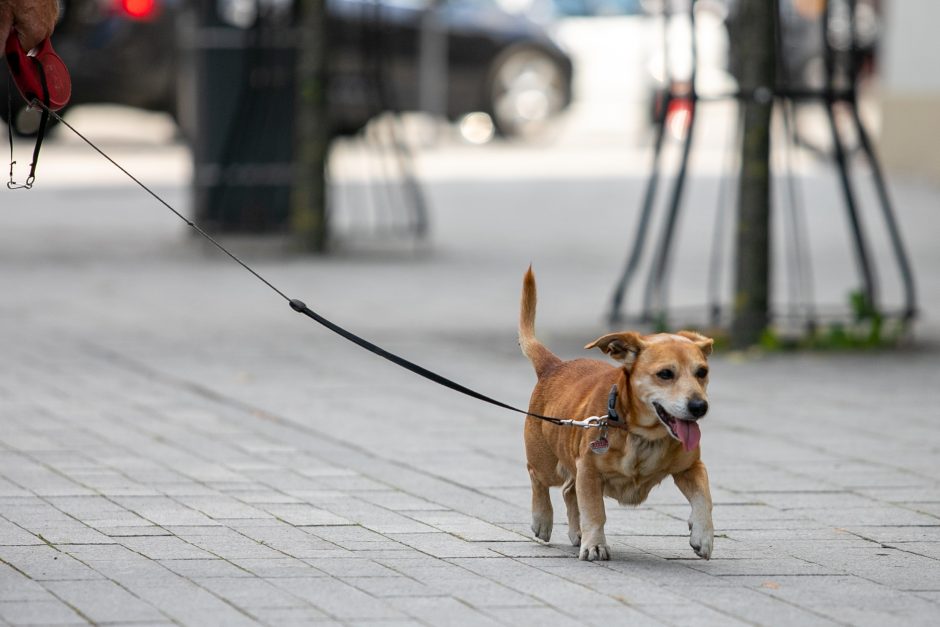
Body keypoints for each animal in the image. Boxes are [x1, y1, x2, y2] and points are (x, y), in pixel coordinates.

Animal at [520, 268, 712, 560]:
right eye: (665, 374)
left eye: (702, 372)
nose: (699, 407)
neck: (642, 436)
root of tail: (554, 366)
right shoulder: (589, 471)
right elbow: (595, 512)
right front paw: (595, 544)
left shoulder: (691, 468)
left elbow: (704, 498)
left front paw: (702, 536)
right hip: (547, 462)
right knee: (538, 478)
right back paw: (542, 519)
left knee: (568, 490)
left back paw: (577, 533)